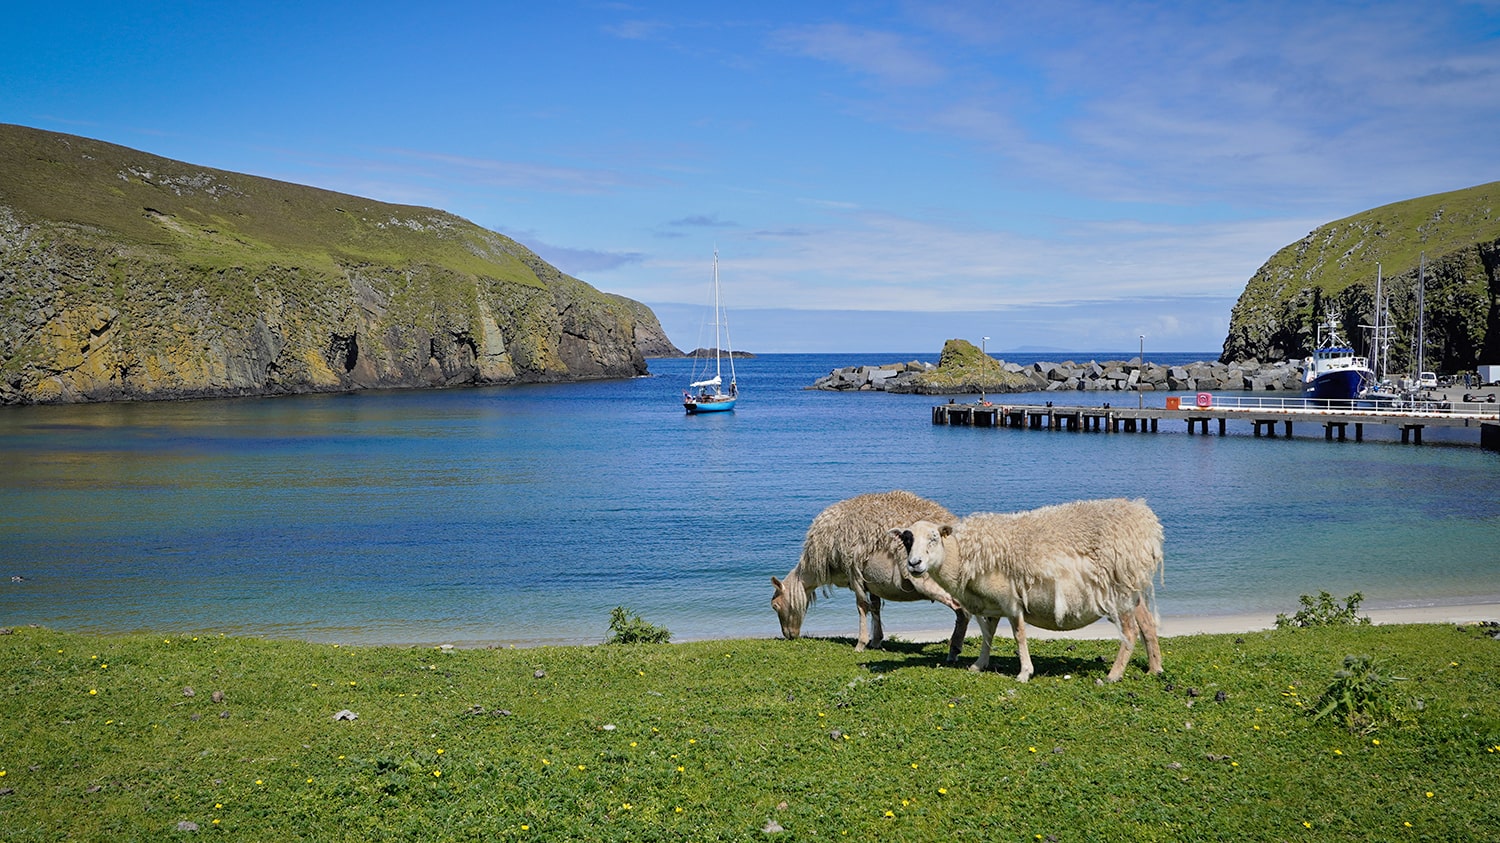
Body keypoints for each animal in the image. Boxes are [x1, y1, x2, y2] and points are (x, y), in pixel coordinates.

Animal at [774, 489, 972, 660]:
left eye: (775, 606)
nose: (789, 635)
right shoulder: (872, 581)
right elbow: (875, 607)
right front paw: (876, 641)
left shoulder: (854, 573)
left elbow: (862, 606)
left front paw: (860, 644)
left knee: (962, 611)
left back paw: (953, 651)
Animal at [894, 495, 1164, 678]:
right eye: (907, 540)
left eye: (933, 538)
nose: (914, 564)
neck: (962, 556)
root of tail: (1144, 519)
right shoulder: (990, 604)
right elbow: (988, 635)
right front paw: (979, 665)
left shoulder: (1011, 601)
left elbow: (1019, 635)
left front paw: (1024, 672)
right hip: (1131, 589)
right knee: (1147, 624)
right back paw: (1155, 668)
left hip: (1119, 591)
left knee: (1130, 631)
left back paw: (1113, 675)